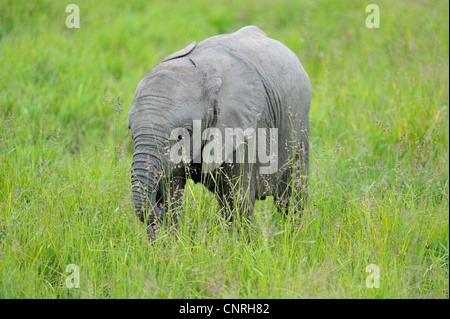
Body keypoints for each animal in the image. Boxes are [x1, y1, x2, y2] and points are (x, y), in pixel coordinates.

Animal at [128, 26, 312, 239]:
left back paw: (294, 237)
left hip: (299, 127)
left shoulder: (245, 130)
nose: (156, 206)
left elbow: (237, 201)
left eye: (182, 136)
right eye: (131, 132)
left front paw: (238, 246)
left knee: (293, 198)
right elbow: (172, 196)